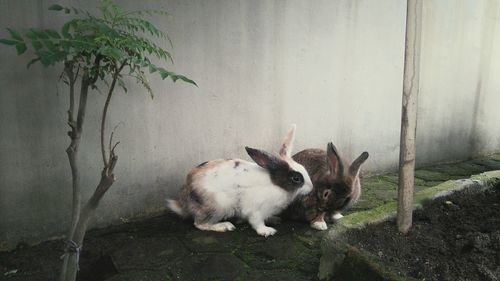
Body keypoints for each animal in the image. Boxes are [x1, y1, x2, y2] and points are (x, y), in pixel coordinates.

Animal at [168, 124, 312, 236]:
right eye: (296, 178)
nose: (311, 188)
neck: (276, 185)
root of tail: (185, 200)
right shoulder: (256, 209)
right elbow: (257, 222)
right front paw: (267, 231)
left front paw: (274, 219)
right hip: (217, 207)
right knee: (199, 223)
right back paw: (224, 226)